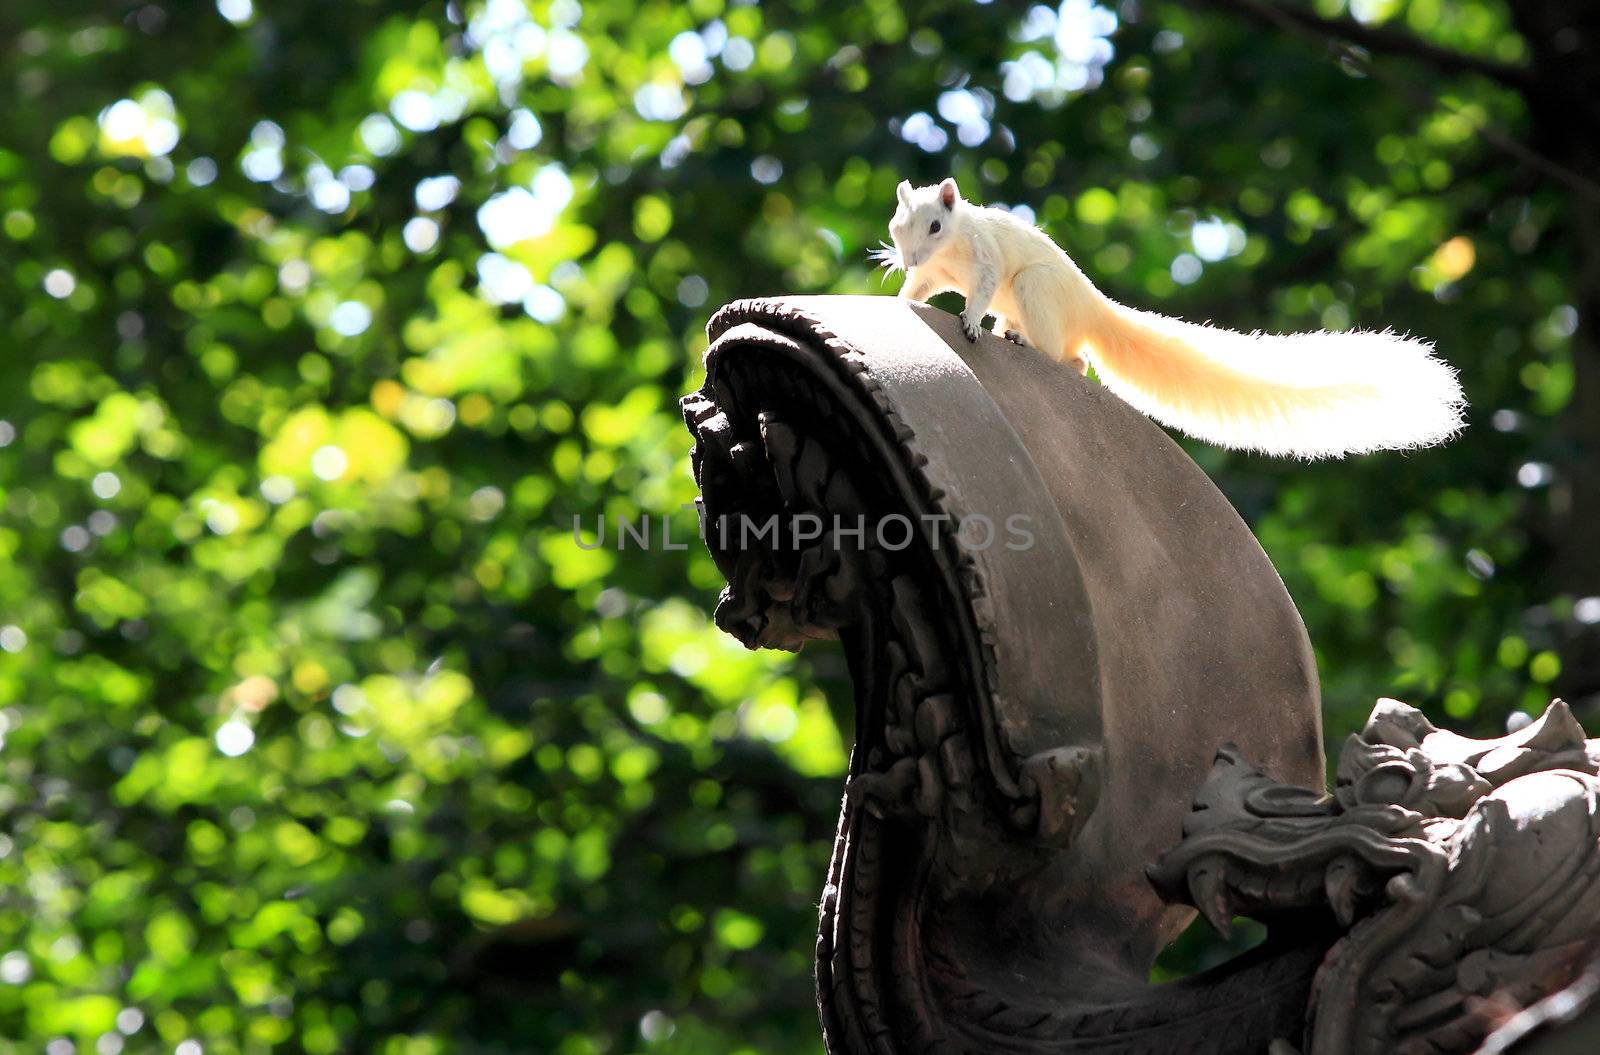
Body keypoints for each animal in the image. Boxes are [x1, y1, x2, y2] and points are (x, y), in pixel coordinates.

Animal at [876, 178, 1465, 457]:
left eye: (935, 225)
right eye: (896, 224)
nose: (907, 254)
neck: (949, 252)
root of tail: (1092, 305)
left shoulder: (986, 260)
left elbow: (980, 289)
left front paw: (971, 322)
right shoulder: (933, 273)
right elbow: (920, 289)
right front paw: (905, 295)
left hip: (1034, 289)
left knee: (1074, 359)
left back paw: (1024, 343)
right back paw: (1011, 333)